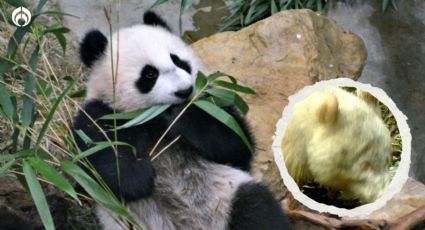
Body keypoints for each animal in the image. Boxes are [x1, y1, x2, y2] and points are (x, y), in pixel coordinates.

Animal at [73, 11, 292, 230]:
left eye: (178, 61)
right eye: (149, 74)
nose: (185, 91)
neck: (155, 120)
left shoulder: (212, 102)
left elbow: (236, 145)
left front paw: (184, 115)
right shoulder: (101, 114)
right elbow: (101, 155)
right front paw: (139, 174)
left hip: (229, 196)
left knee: (257, 209)